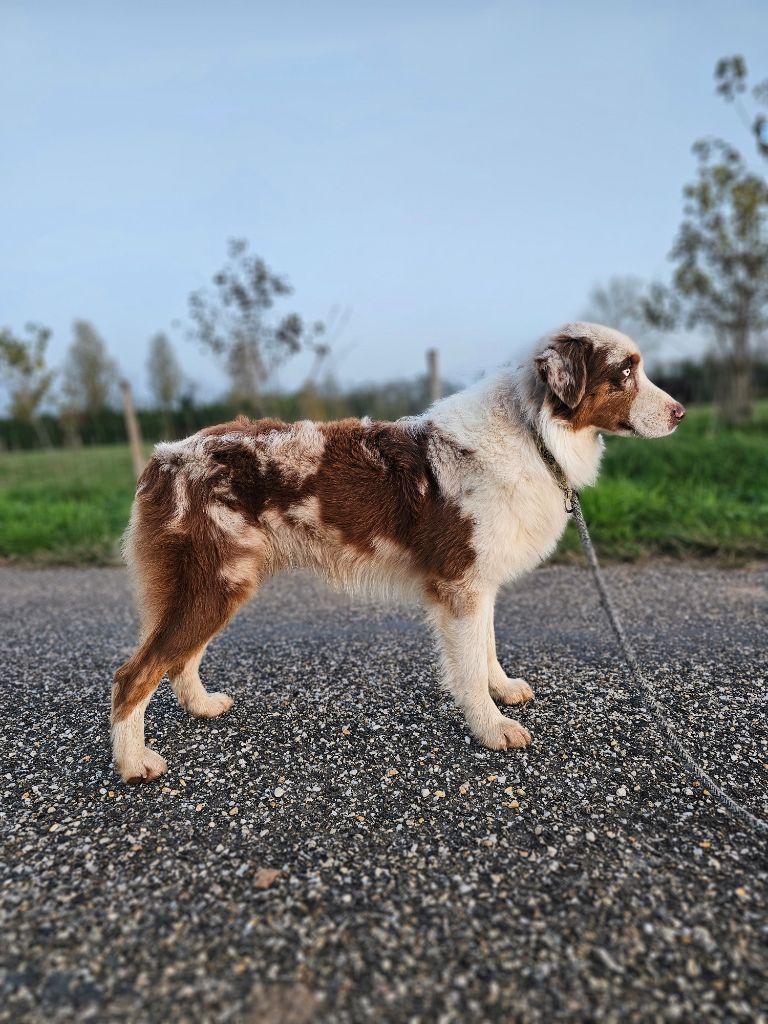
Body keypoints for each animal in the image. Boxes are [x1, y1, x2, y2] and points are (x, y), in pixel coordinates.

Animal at [109, 323, 684, 778]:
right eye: (625, 372)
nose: (681, 412)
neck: (533, 430)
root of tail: (163, 457)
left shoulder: (478, 583)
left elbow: (488, 648)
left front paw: (501, 691)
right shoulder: (459, 584)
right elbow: (468, 666)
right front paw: (491, 728)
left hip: (219, 584)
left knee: (178, 660)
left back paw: (202, 706)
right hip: (214, 583)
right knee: (134, 674)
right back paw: (134, 763)